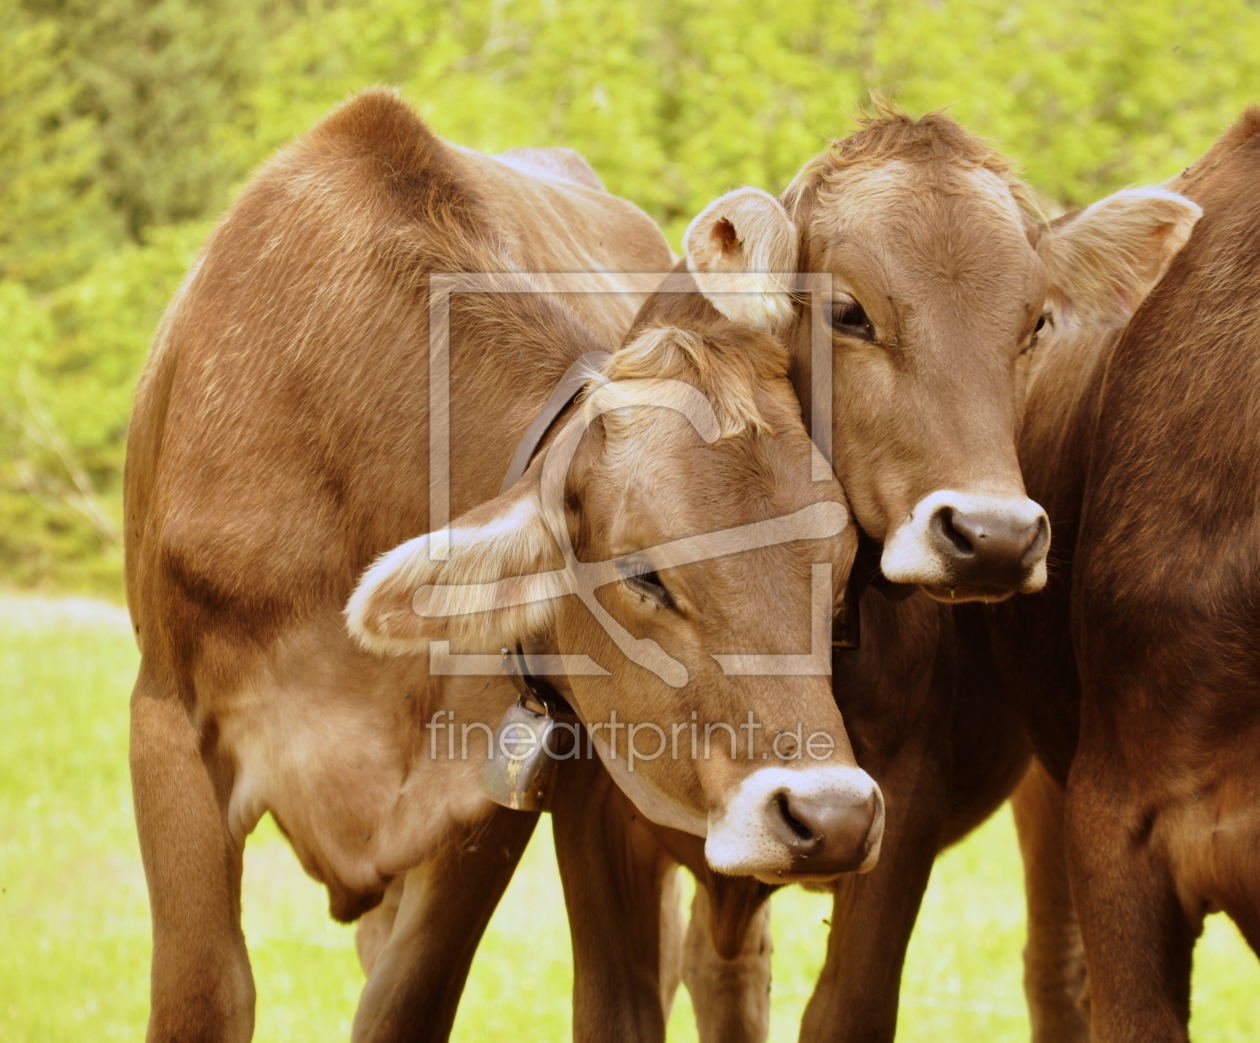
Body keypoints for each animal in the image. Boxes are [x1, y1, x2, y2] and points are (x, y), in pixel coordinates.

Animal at [125, 91, 876, 1043]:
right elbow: (204, 990)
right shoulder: (167, 720)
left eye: (841, 571)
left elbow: (406, 1001)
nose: (834, 814)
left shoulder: (486, 790)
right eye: (644, 575)